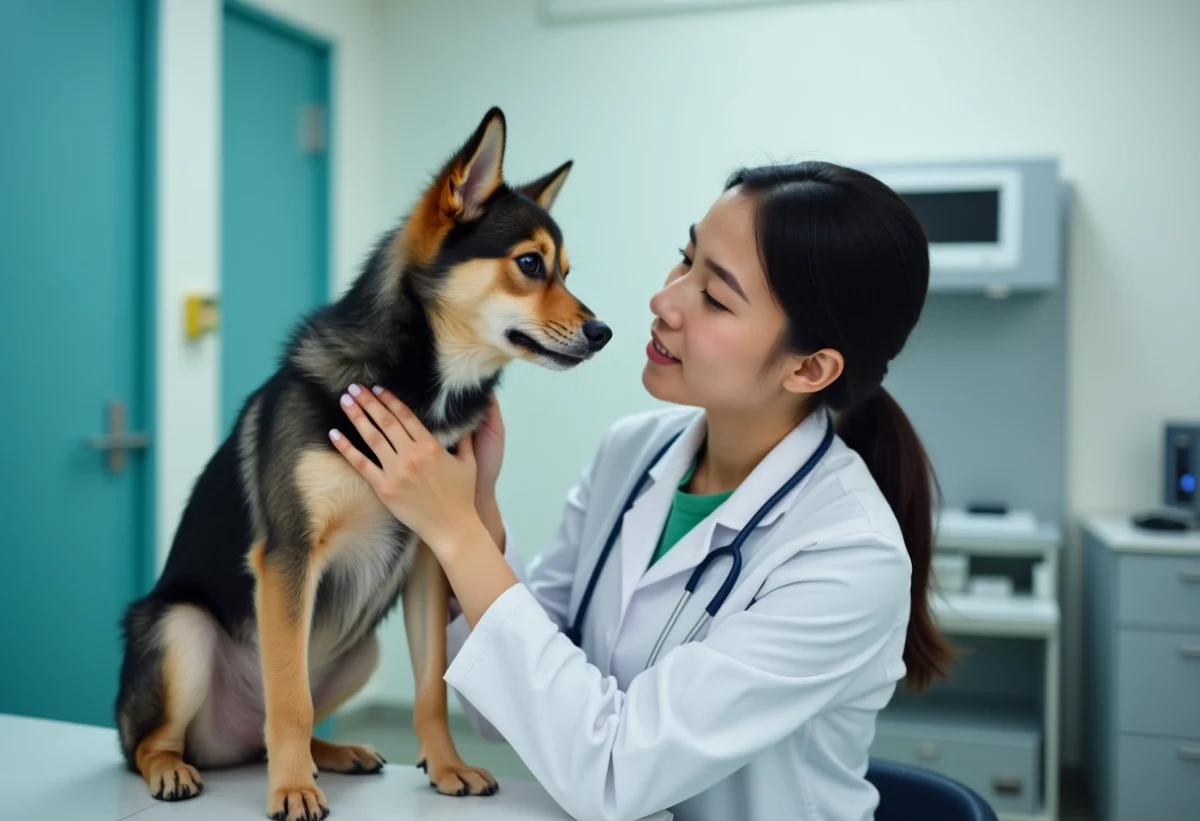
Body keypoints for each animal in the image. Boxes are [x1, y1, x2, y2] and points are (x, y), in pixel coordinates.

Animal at [114, 109, 609, 820]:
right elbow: (290, 700)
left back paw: (336, 752)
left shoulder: (432, 560)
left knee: (275, 719)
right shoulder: (288, 556)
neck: (420, 390)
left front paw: (448, 767)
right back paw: (176, 769)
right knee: (153, 740)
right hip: (181, 628)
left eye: (566, 271)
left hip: (360, 649)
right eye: (530, 264)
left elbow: (429, 690)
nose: (604, 333)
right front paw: (293, 790)